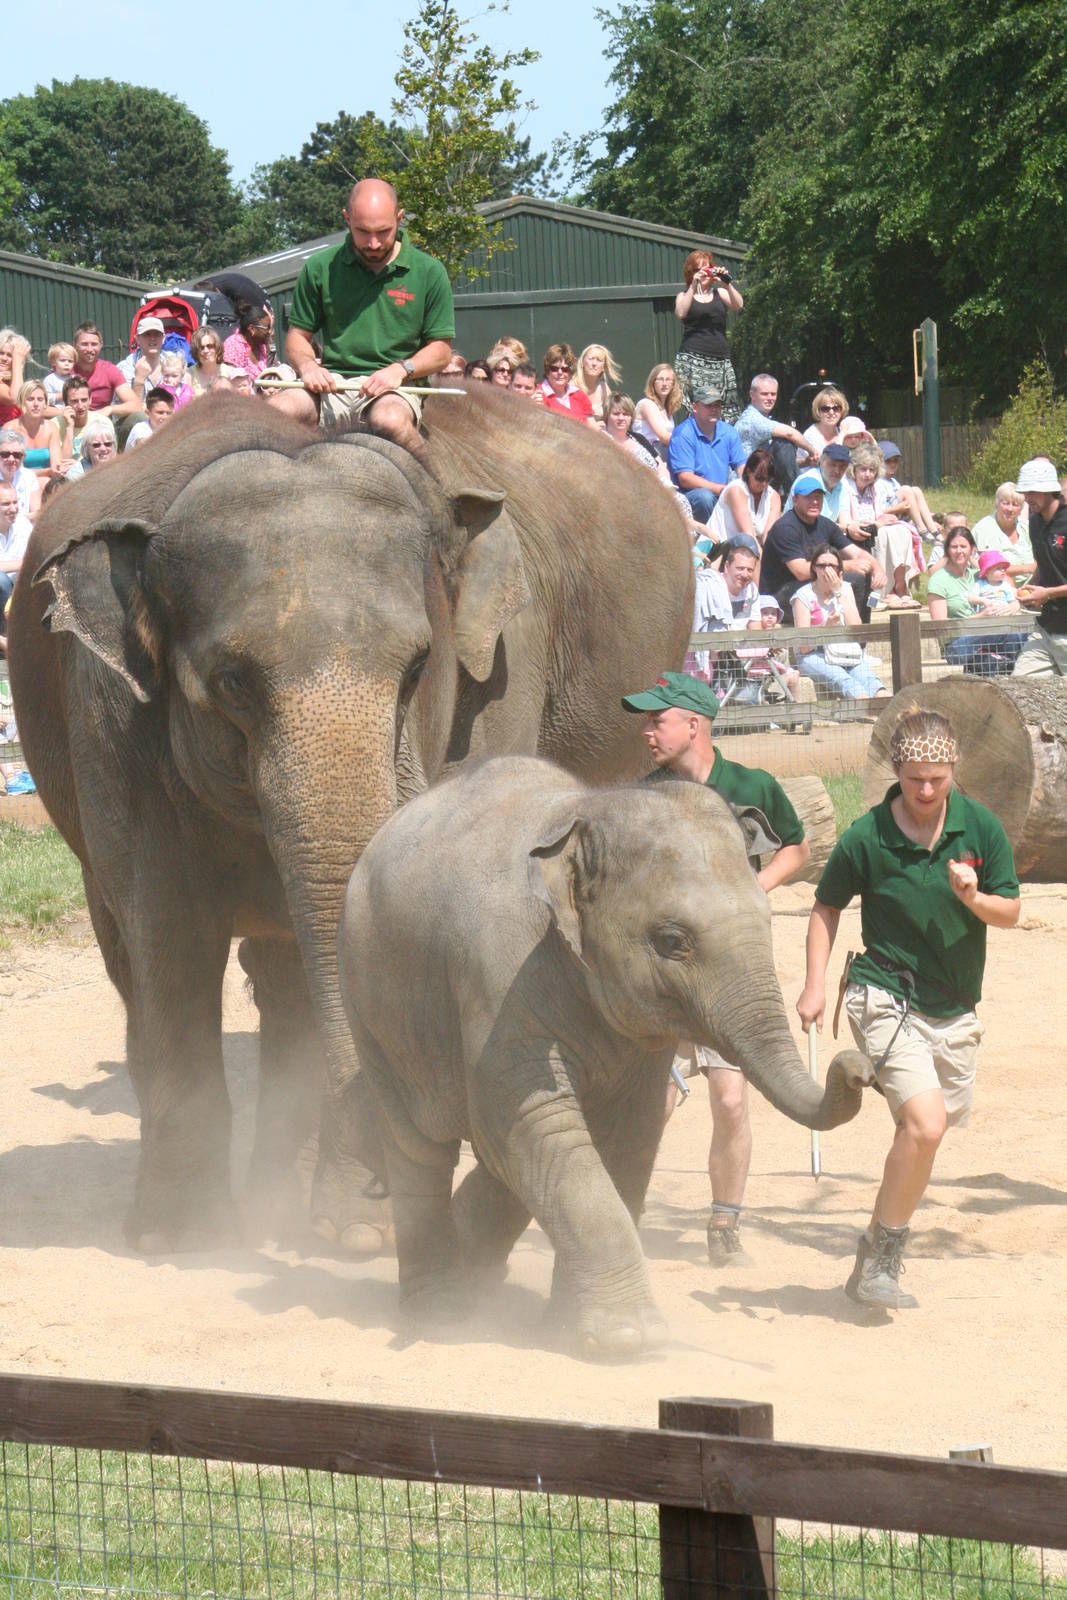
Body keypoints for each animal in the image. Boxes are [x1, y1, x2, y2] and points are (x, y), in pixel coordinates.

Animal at [8, 386, 693, 1253]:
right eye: (231, 682)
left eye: (418, 667)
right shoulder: (108, 714)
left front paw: (354, 1232)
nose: (380, 1165)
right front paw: (179, 1238)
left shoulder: (497, 679)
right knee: (141, 955)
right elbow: (166, 926)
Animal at [337, 755, 873, 1357]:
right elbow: (527, 1122)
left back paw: (476, 1271)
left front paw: (576, 1331)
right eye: (672, 940)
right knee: (419, 1146)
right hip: (369, 1003)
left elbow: (627, 1131)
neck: (585, 816)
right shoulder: (498, 979)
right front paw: (630, 1339)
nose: (859, 1068)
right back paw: (441, 1313)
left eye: (766, 915)